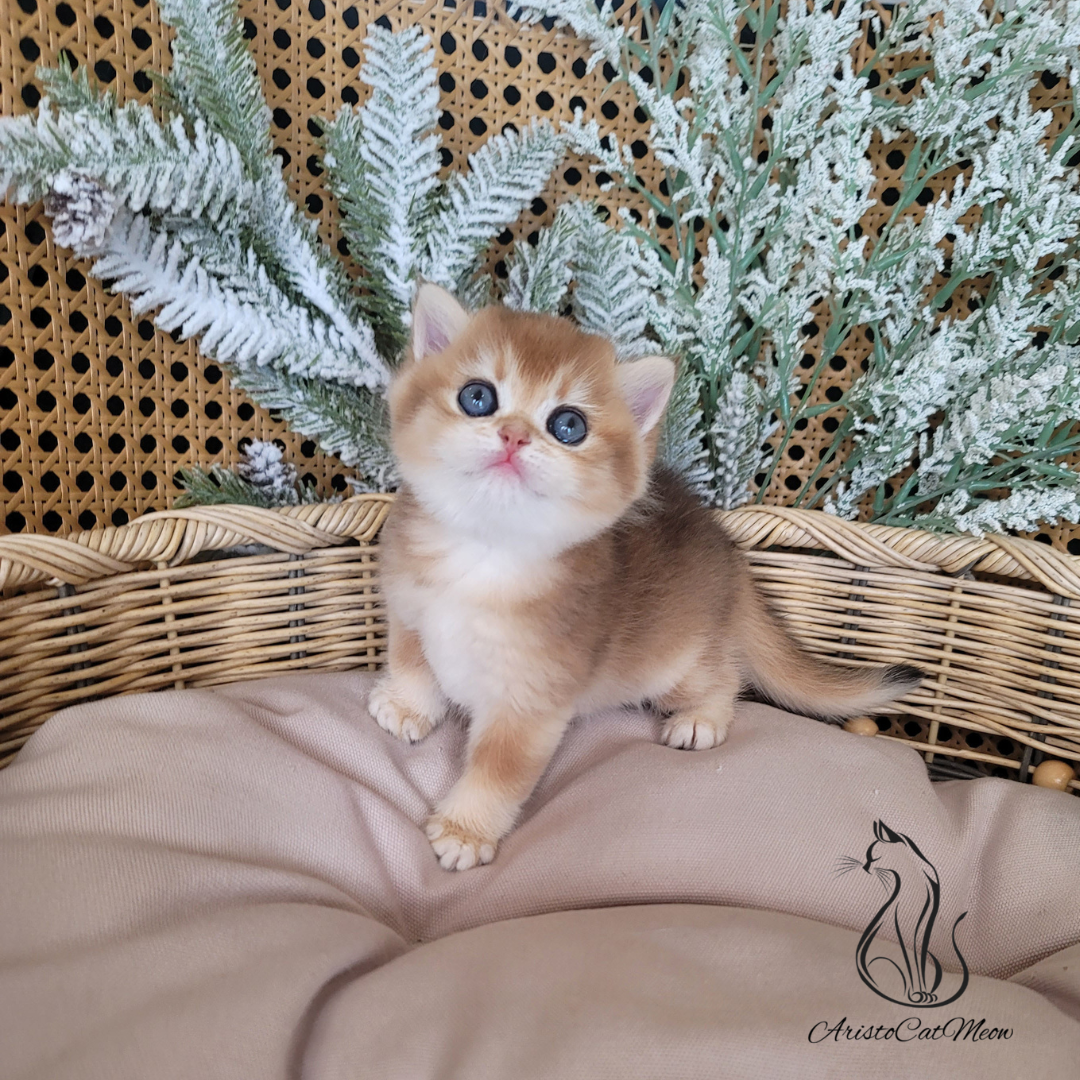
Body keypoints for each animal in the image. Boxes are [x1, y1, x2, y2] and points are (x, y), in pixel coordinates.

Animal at [368, 283, 923, 870]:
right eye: (478, 397)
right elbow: (412, 661)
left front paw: (465, 830)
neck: (483, 552)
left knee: (726, 676)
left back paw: (703, 717)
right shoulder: (409, 611)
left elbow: (499, 771)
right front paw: (406, 705)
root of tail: (726, 548)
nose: (514, 436)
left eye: (568, 426)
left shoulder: (530, 701)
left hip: (673, 663)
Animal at [853, 820, 969, 1006]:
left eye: (873, 858)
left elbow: (919, 963)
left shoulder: (924, 929)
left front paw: (924, 993)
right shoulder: (903, 929)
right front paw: (917, 994)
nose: (865, 867)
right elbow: (911, 963)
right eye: (867, 857)